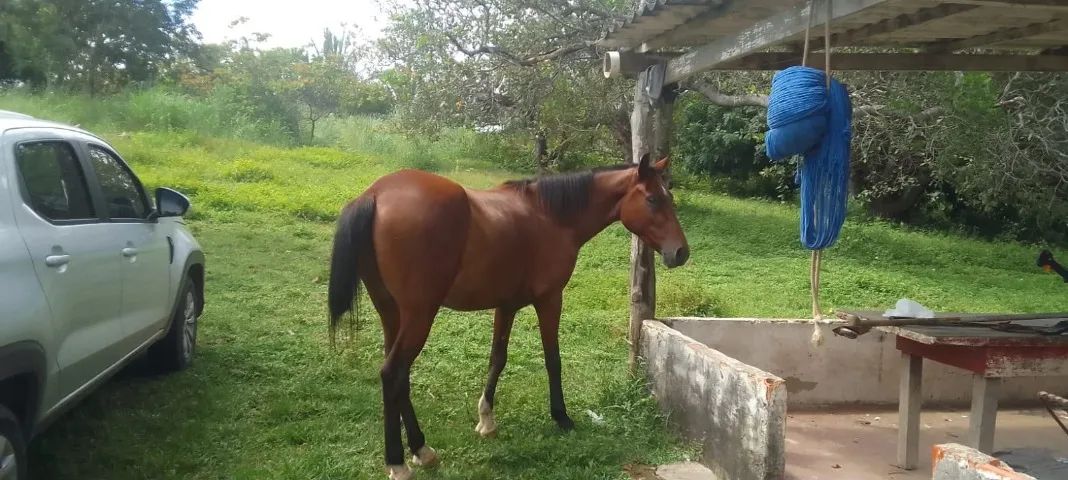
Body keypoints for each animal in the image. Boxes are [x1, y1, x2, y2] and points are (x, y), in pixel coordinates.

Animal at [327, 153, 689, 479]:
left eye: (669, 197)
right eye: (653, 199)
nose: (681, 252)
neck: (550, 216)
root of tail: (375, 194)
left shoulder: (506, 305)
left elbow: (497, 358)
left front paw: (486, 419)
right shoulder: (549, 300)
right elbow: (552, 359)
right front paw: (561, 417)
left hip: (392, 313)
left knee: (398, 377)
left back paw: (421, 450)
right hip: (419, 315)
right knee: (393, 373)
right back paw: (398, 463)